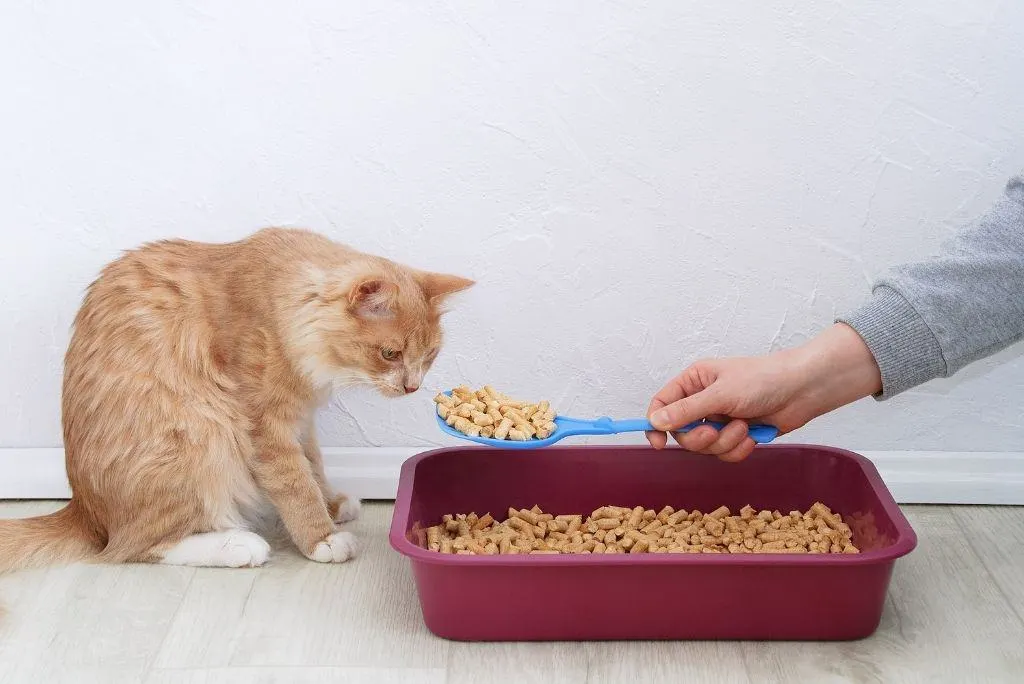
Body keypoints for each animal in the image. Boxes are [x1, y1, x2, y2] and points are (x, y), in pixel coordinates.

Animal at [0, 227, 471, 569]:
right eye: (390, 354)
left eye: (429, 355)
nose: (411, 387)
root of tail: (84, 510)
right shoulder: (262, 422)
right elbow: (295, 484)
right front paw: (322, 538)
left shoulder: (301, 420)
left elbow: (314, 466)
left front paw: (332, 503)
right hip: (199, 435)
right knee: (137, 546)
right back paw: (238, 546)